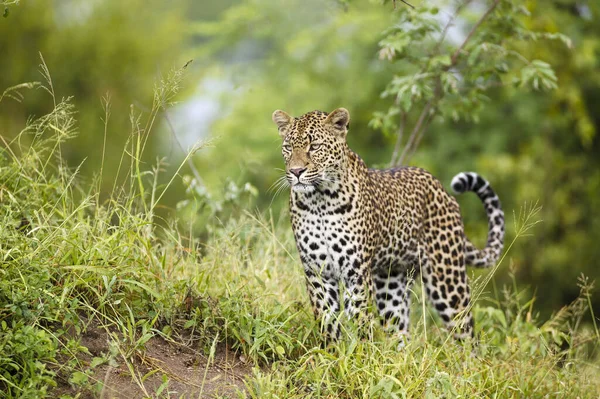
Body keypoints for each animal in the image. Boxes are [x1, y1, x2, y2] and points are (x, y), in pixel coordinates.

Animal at [270, 108, 502, 346]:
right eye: (288, 147)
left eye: (315, 146)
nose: (296, 171)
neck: (320, 201)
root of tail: (444, 191)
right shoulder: (317, 271)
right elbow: (327, 321)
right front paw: (331, 351)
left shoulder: (356, 272)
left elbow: (360, 320)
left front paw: (360, 353)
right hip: (392, 284)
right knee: (399, 331)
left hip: (447, 281)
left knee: (467, 335)